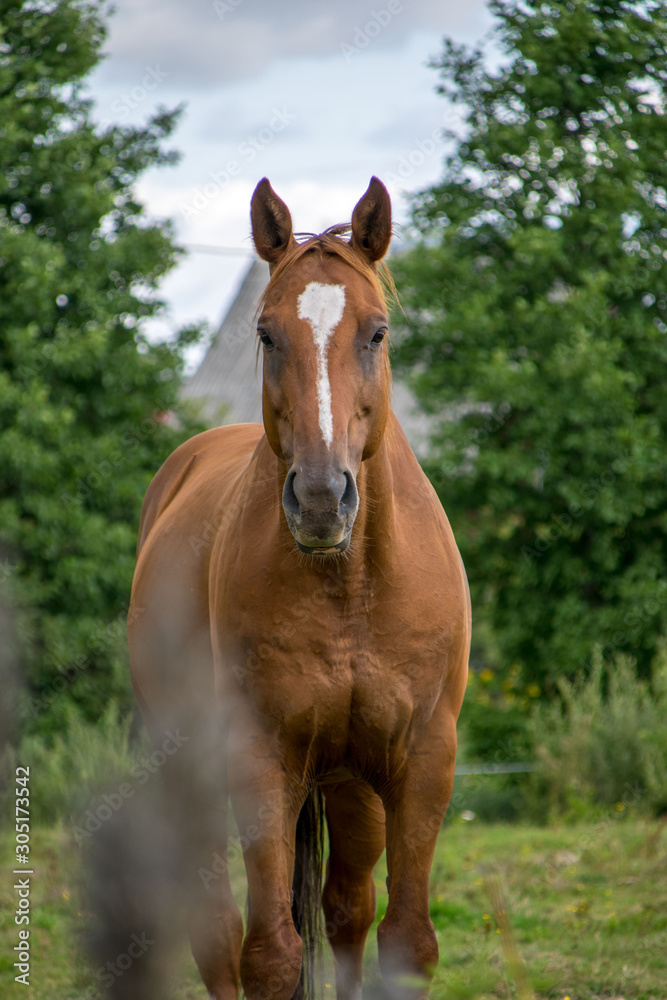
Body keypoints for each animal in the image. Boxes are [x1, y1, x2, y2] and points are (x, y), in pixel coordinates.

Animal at [128, 176, 472, 996]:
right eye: (265, 334)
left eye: (376, 332)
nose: (320, 499)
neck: (351, 587)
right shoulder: (261, 760)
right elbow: (272, 955)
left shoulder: (422, 761)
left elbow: (403, 939)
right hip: (192, 771)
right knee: (219, 933)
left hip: (351, 788)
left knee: (345, 911)